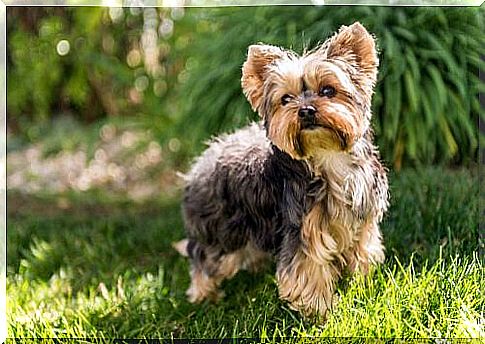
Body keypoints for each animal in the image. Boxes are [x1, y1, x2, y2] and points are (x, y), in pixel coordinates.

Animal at [174, 20, 390, 318]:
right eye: (286, 99)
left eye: (328, 90)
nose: (306, 110)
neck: (328, 157)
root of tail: (200, 163)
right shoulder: (302, 229)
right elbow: (308, 270)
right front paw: (319, 312)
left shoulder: (362, 220)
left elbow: (362, 250)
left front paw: (361, 284)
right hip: (221, 227)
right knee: (204, 255)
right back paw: (204, 295)